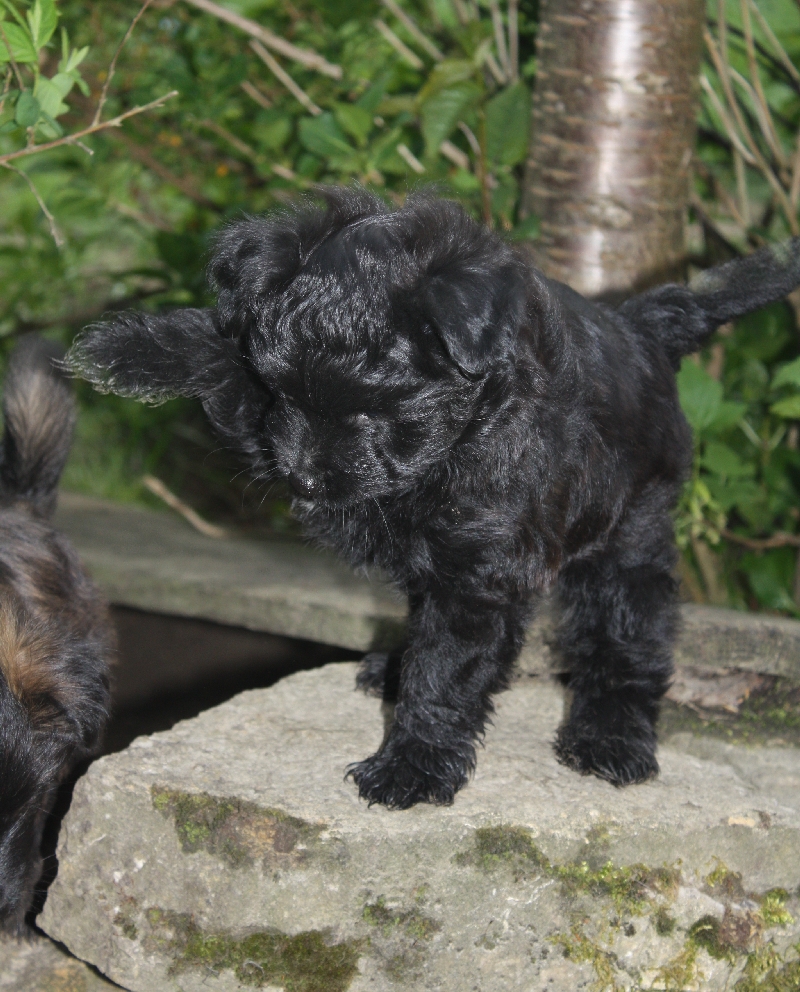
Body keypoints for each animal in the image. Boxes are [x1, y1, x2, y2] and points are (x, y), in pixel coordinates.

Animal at [67, 188, 800, 809]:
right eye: (286, 391)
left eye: (382, 406)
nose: (304, 481)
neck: (461, 435)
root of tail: (643, 326)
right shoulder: (263, 422)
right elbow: (225, 361)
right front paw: (131, 347)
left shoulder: (476, 574)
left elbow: (447, 669)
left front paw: (412, 763)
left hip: (627, 534)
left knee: (628, 635)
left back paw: (611, 735)